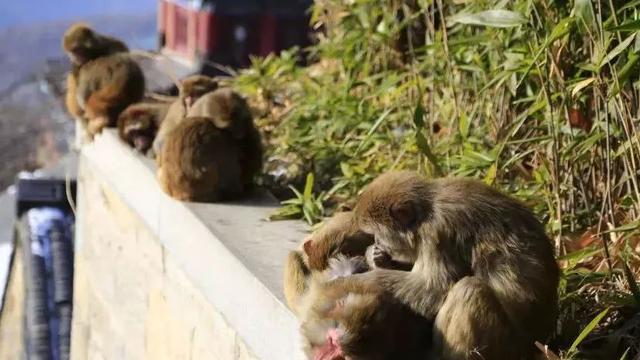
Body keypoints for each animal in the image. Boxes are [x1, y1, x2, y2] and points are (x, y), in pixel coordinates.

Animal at [322, 172, 556, 360]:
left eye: (378, 233)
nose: (378, 242)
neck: (428, 210)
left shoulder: (437, 233)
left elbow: (433, 291)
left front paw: (352, 281)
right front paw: (377, 258)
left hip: (506, 348)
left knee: (469, 290)